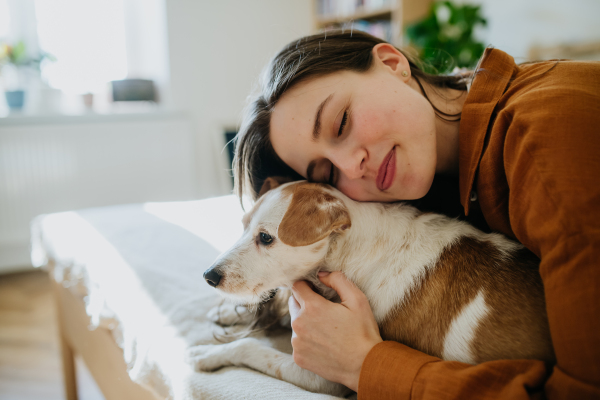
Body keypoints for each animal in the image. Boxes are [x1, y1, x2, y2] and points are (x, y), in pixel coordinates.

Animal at [186, 179, 552, 396]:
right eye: (243, 227)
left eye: (265, 238)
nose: (208, 276)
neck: (351, 249)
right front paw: (224, 313)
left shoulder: (324, 374)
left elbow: (252, 347)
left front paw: (208, 354)